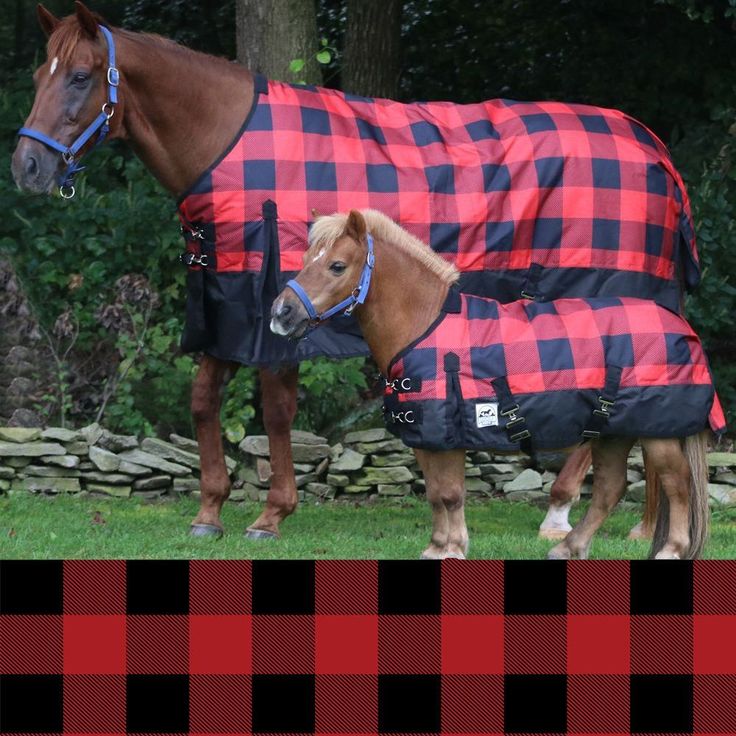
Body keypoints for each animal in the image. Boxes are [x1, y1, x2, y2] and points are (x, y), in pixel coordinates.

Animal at [14, 4, 660, 540]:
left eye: (79, 76)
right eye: (38, 76)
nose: (27, 166)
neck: (226, 142)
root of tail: (651, 147)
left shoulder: (275, 314)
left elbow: (276, 412)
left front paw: (271, 515)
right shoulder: (227, 305)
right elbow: (203, 402)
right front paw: (210, 511)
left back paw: (565, 513)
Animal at [272, 210, 724, 560]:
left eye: (337, 265)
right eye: (307, 259)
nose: (281, 313)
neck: (424, 326)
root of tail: (680, 326)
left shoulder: (446, 435)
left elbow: (450, 493)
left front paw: (452, 548)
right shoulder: (424, 437)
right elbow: (436, 493)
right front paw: (438, 546)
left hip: (657, 434)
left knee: (677, 485)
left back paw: (670, 550)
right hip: (614, 433)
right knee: (609, 490)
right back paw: (569, 548)